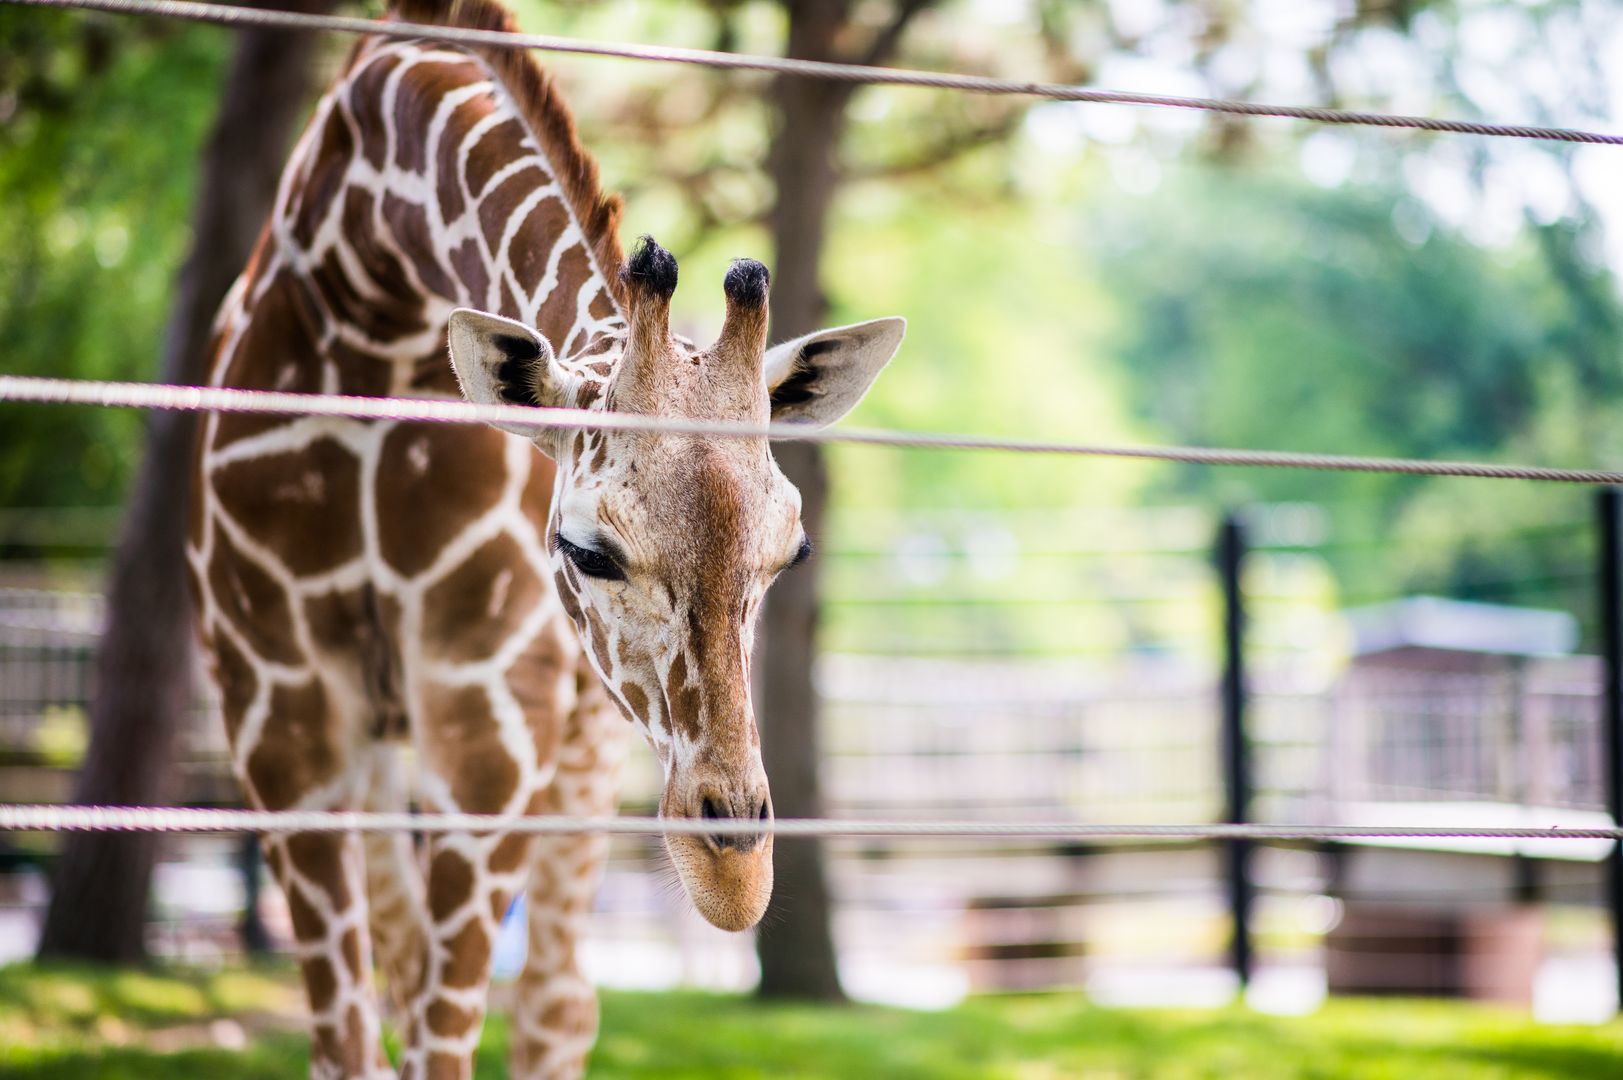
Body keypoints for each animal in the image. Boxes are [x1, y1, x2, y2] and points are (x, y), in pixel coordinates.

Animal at [184, 1, 905, 1077]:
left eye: (793, 554)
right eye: (587, 550)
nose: (734, 875)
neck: (372, 292)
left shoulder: (491, 718)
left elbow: (446, 1031)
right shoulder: (279, 713)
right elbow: (356, 1037)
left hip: (575, 744)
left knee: (557, 1001)